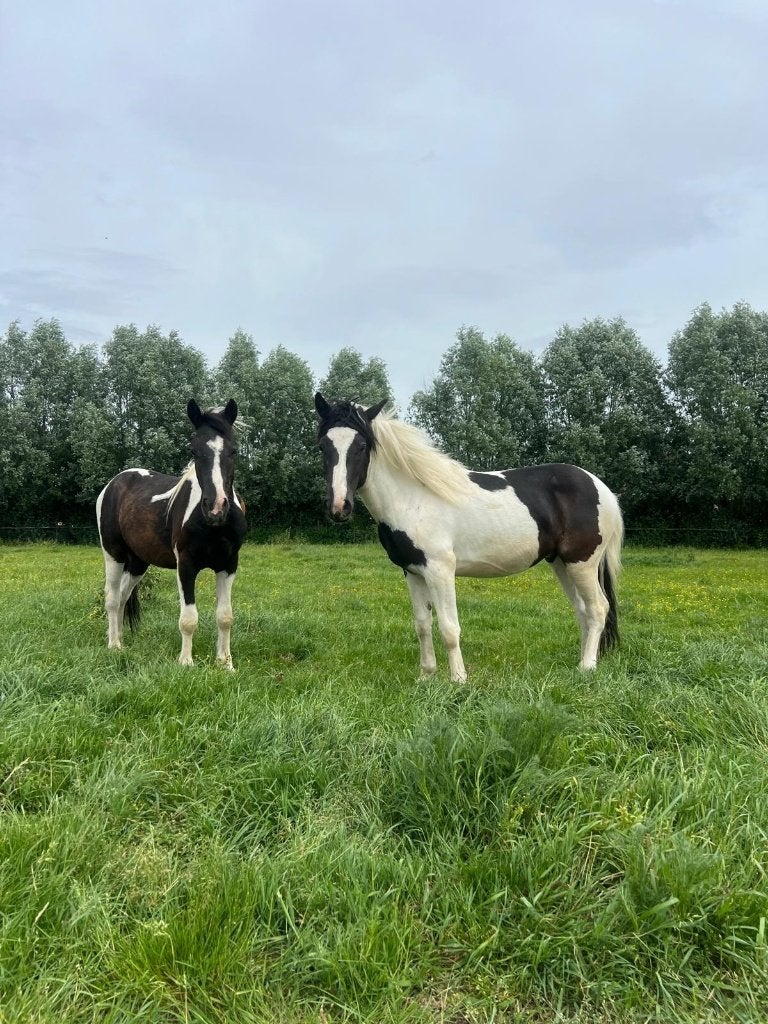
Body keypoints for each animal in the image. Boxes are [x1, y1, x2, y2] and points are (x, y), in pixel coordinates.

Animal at [95, 399, 246, 668]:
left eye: (234, 450)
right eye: (194, 450)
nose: (216, 507)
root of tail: (114, 483)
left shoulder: (228, 564)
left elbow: (225, 616)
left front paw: (225, 663)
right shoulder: (185, 565)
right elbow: (188, 618)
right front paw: (186, 663)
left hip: (138, 562)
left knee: (123, 596)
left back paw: (121, 641)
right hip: (114, 554)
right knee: (112, 598)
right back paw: (114, 645)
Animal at [314, 393, 623, 681]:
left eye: (362, 446)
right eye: (323, 446)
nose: (339, 507)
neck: (413, 498)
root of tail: (601, 488)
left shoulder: (440, 570)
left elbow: (449, 628)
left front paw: (458, 680)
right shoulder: (412, 572)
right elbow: (422, 625)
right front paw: (426, 676)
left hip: (582, 563)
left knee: (598, 608)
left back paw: (587, 667)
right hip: (561, 563)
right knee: (583, 610)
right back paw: (580, 663)